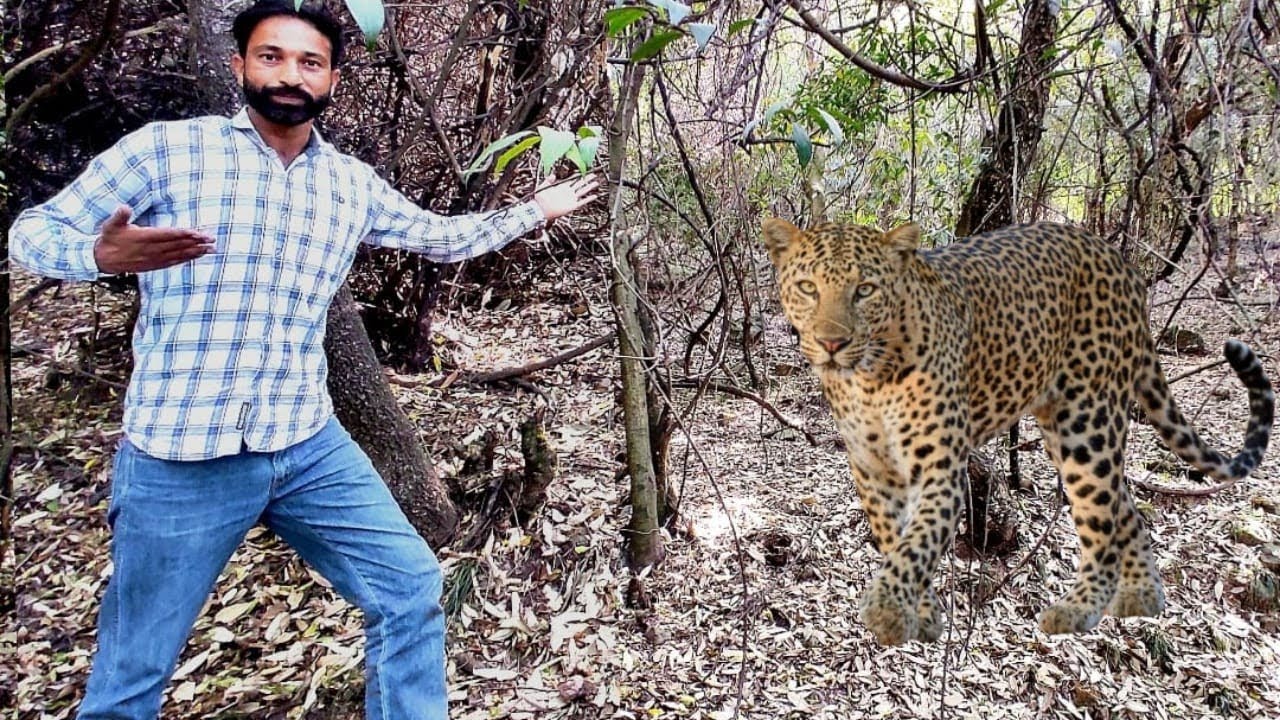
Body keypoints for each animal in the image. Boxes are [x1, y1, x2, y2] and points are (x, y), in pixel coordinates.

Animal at [761, 218, 1274, 646]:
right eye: (808, 288)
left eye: (865, 290)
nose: (831, 343)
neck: (868, 380)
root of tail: (1120, 262)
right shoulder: (874, 471)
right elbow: (896, 541)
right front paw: (921, 616)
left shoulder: (940, 470)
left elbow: (918, 542)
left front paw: (887, 611)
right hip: (1061, 428)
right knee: (1125, 508)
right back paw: (1142, 599)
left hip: (1087, 423)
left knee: (1102, 519)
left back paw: (1076, 611)